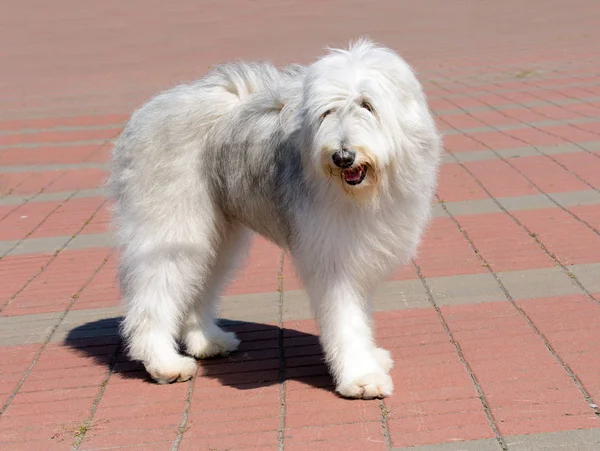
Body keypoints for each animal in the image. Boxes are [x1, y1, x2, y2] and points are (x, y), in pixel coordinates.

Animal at [109, 38, 440, 400]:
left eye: (367, 105)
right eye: (327, 112)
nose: (342, 156)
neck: (365, 194)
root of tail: (150, 109)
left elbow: (360, 313)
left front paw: (371, 358)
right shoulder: (333, 258)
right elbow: (346, 319)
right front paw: (361, 377)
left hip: (218, 236)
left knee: (198, 283)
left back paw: (208, 342)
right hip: (173, 227)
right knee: (155, 294)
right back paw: (163, 362)